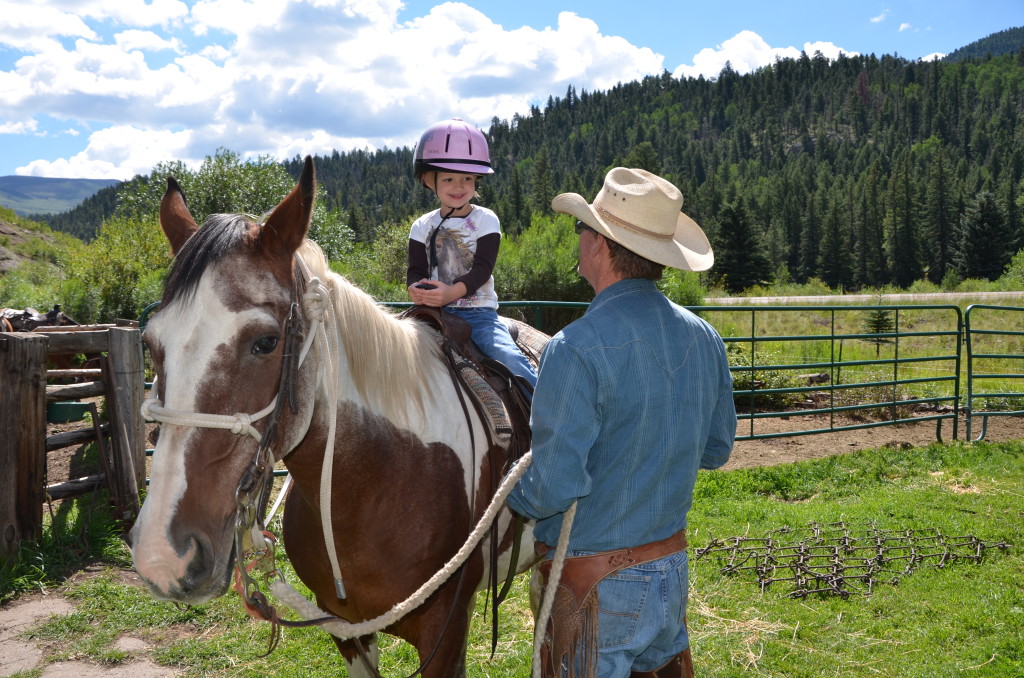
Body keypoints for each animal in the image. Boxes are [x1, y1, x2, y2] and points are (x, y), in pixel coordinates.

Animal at [134, 156, 544, 675]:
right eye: (150, 343)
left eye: (265, 342)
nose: (162, 555)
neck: (381, 478)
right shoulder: (345, 630)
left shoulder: (446, 634)